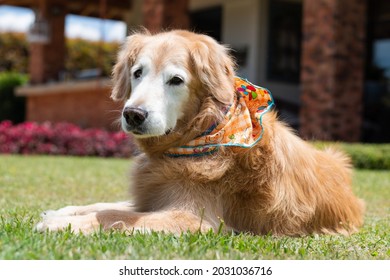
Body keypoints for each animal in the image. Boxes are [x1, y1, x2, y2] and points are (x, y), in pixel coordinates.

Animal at [35, 29, 364, 236]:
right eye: (137, 73)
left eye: (176, 80)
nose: (133, 114)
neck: (202, 134)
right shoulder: (150, 197)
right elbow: (108, 205)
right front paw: (61, 212)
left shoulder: (194, 218)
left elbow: (116, 215)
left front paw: (60, 225)